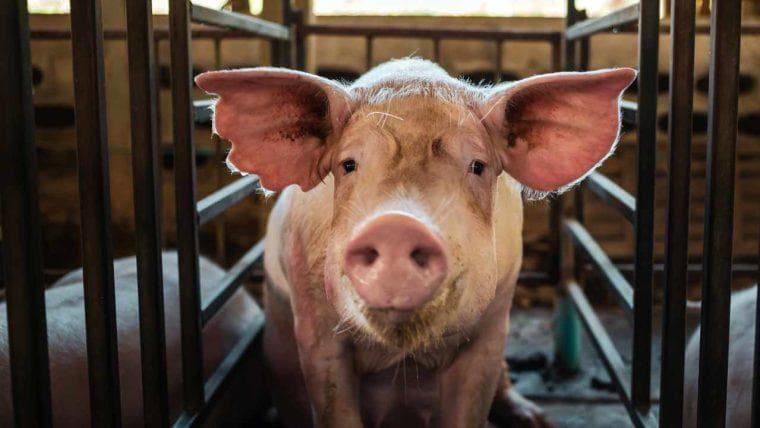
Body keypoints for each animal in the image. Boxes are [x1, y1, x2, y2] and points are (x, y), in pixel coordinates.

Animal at [196, 58, 636, 427]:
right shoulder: (315, 325)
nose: (397, 226)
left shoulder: (491, 327)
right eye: (348, 164)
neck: (402, 359)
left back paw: (536, 419)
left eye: (478, 166)